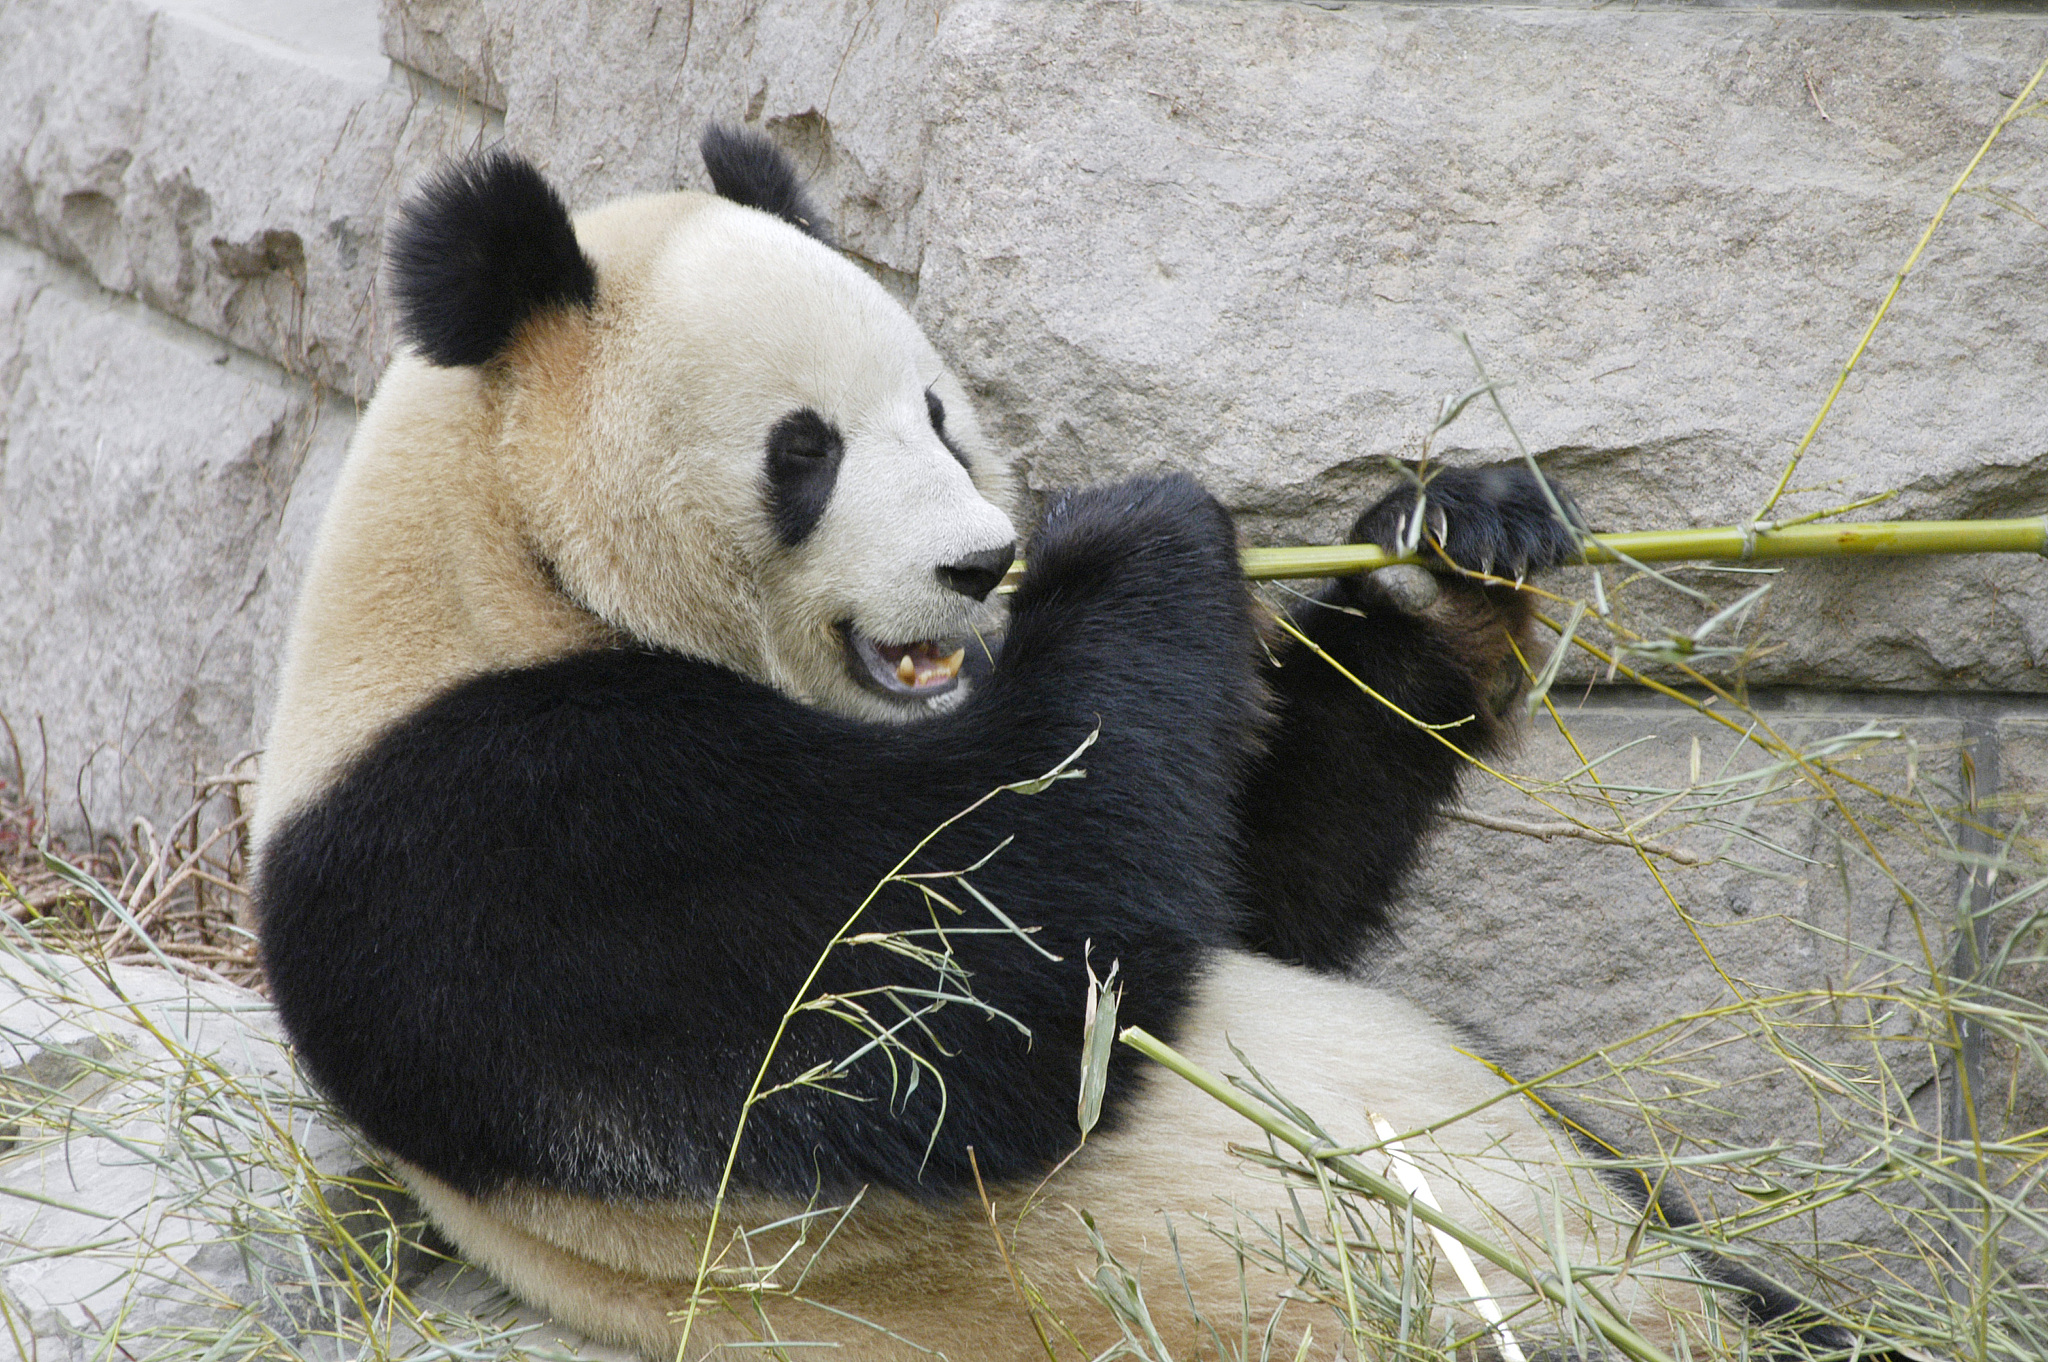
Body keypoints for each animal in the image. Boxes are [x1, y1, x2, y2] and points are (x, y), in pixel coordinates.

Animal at [252, 129, 1843, 1361]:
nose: (979, 563)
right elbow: (953, 1002)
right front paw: (1139, 532)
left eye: (939, 416)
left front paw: (1449, 545)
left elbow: (1235, 893)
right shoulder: (502, 833)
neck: (496, 570)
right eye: (805, 449)